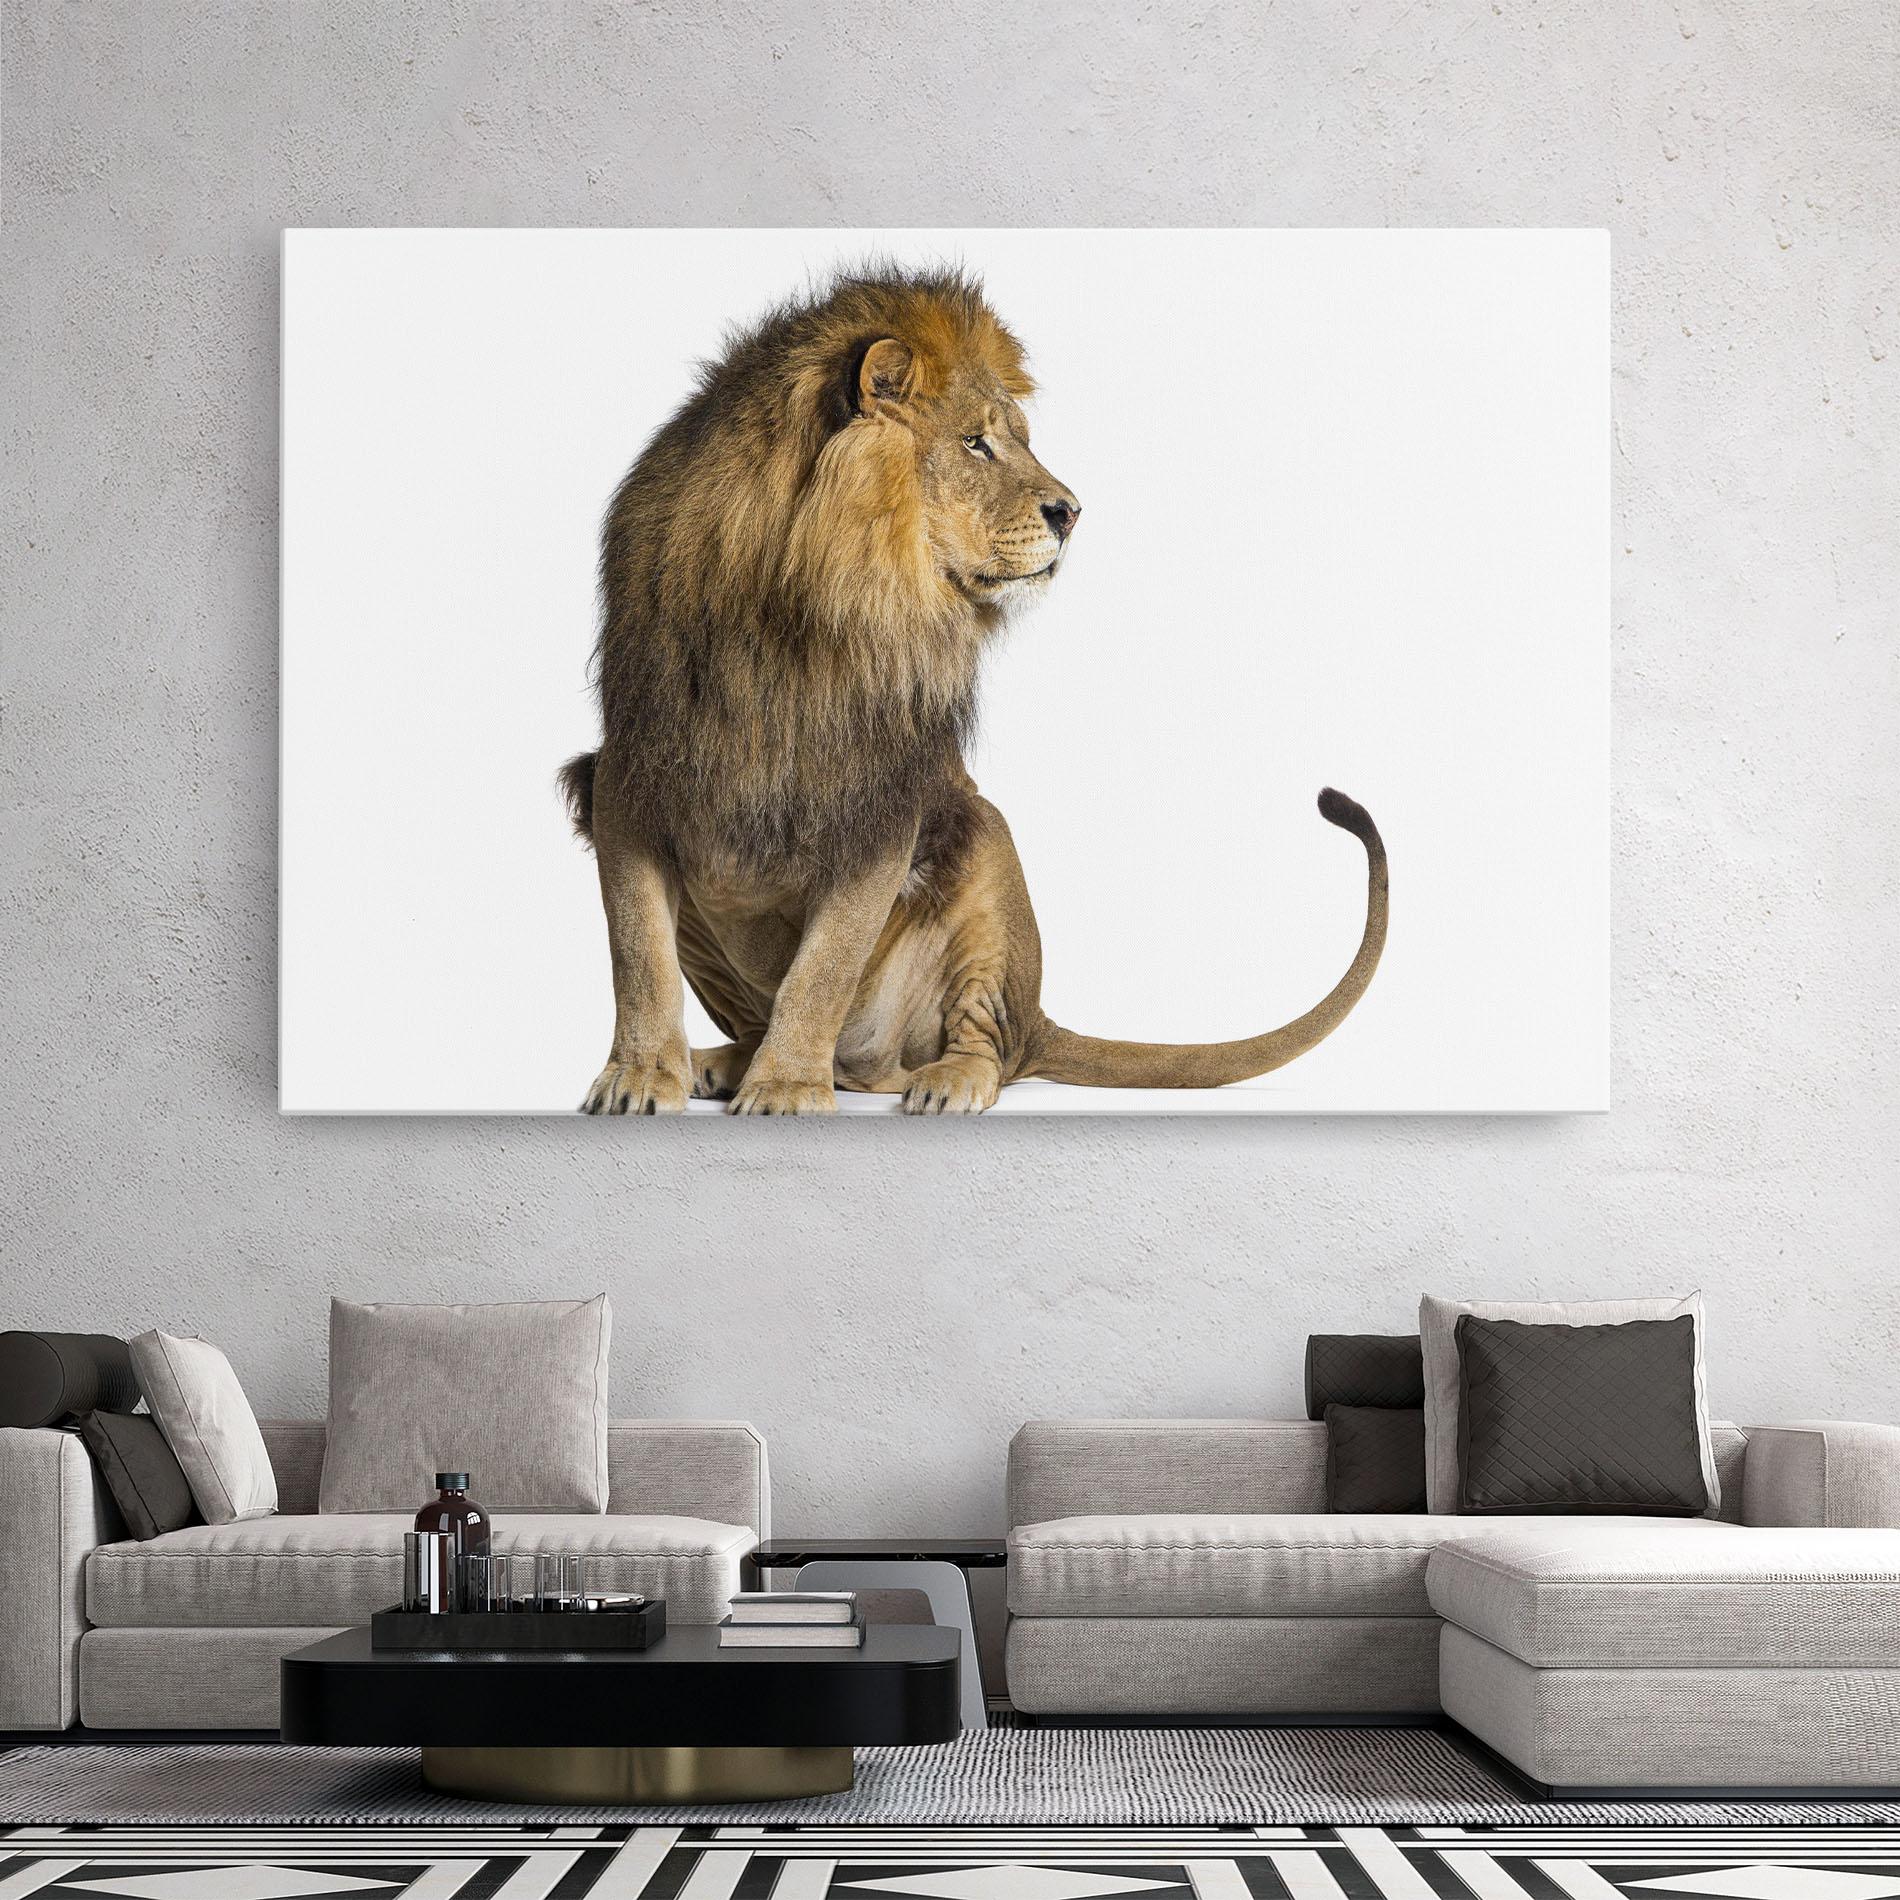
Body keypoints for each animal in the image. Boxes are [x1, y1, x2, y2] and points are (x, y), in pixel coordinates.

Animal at [559, 265, 1387, 1114]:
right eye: (976, 442)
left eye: (1016, 438)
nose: (1072, 512)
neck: (796, 614)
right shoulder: (628, 775)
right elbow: (639, 954)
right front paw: (640, 1075)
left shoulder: (884, 801)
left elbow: (822, 969)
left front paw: (787, 1086)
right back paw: (724, 1061)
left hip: (983, 850)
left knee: (985, 1042)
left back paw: (937, 1079)